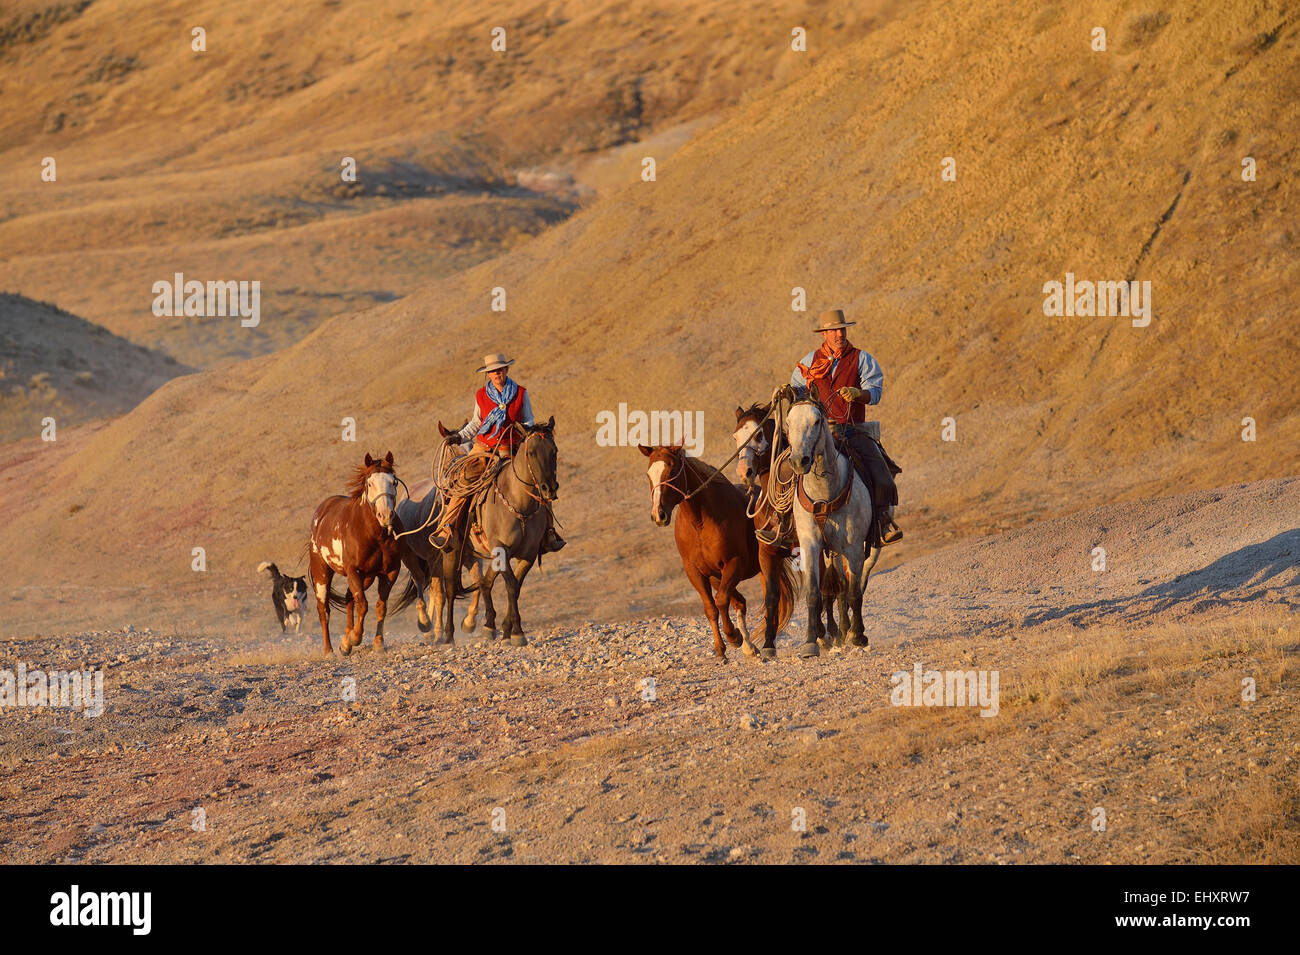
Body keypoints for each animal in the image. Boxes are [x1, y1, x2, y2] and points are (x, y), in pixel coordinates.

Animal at [307, 451, 422, 657]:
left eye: (394, 482)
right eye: (370, 483)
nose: (386, 515)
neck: (375, 535)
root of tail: (320, 513)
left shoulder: (389, 573)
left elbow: (380, 607)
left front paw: (377, 643)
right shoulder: (353, 571)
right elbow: (363, 604)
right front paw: (356, 637)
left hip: (367, 577)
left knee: (348, 598)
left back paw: (345, 643)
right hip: (322, 572)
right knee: (324, 609)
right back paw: (329, 651)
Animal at [437, 419, 559, 647]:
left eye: (554, 451)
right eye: (531, 452)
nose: (549, 489)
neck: (519, 502)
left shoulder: (528, 555)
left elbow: (516, 587)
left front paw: (507, 629)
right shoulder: (501, 549)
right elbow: (511, 585)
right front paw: (517, 632)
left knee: (485, 582)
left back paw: (488, 626)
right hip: (452, 552)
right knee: (450, 589)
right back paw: (448, 635)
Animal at [640, 443, 795, 662]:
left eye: (671, 471)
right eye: (648, 474)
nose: (658, 514)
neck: (700, 522)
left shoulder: (734, 563)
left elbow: (721, 601)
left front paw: (733, 637)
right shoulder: (697, 572)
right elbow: (711, 608)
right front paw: (721, 649)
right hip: (720, 576)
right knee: (740, 602)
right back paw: (749, 647)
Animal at [734, 402, 846, 653]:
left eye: (758, 435)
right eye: (735, 436)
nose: (744, 472)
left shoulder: (810, 550)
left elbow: (819, 592)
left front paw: (821, 635)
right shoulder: (766, 553)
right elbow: (772, 598)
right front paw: (768, 644)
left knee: (831, 591)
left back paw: (835, 632)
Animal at [780, 396, 881, 657]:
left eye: (816, 421)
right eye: (788, 422)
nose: (799, 461)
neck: (824, 494)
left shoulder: (854, 549)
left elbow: (854, 593)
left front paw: (858, 637)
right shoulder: (810, 546)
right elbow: (814, 594)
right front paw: (811, 641)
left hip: (869, 549)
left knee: (859, 584)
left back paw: (853, 630)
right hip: (833, 552)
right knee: (841, 587)